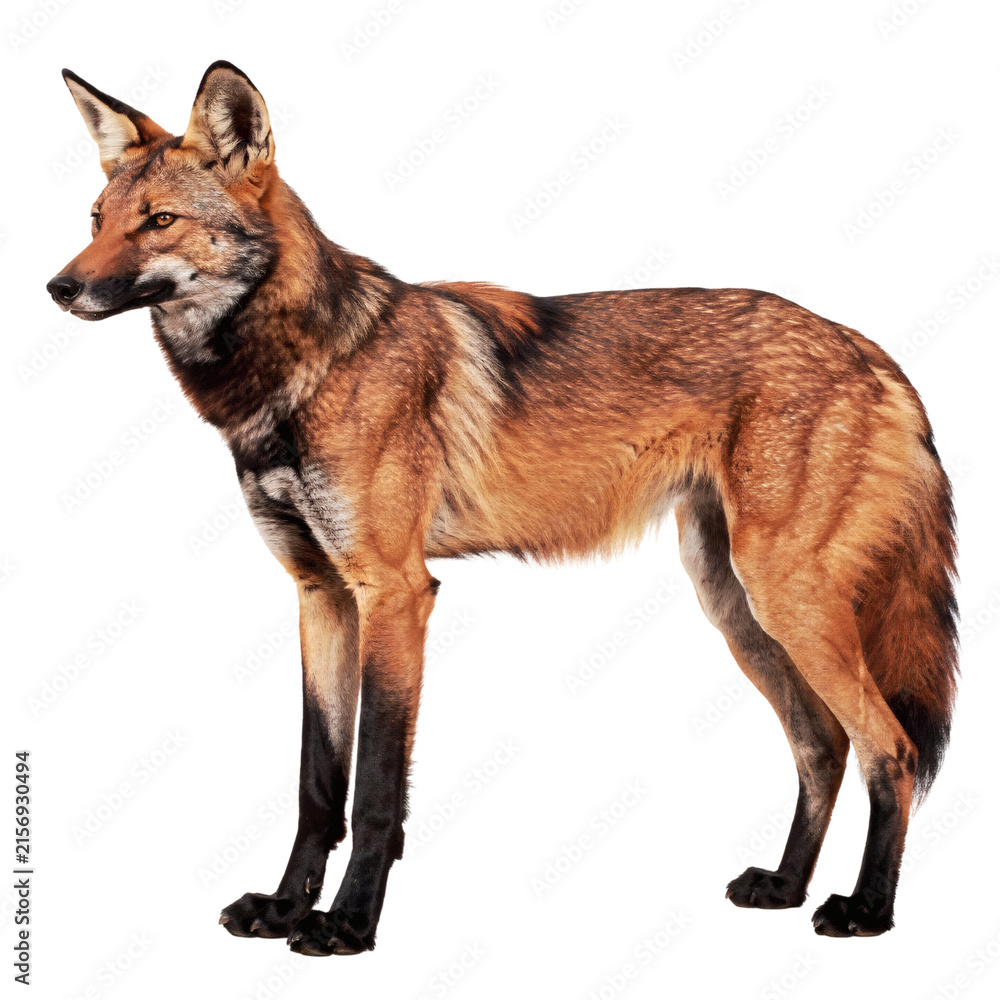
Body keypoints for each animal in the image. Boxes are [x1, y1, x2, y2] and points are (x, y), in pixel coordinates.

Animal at [47, 61, 958, 953]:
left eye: (159, 222)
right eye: (96, 219)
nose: (59, 287)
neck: (299, 374)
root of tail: (870, 349)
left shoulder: (395, 593)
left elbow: (374, 789)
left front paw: (347, 924)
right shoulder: (320, 594)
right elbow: (317, 783)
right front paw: (281, 909)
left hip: (784, 598)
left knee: (893, 750)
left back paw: (866, 910)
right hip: (736, 606)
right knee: (823, 746)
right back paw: (785, 886)